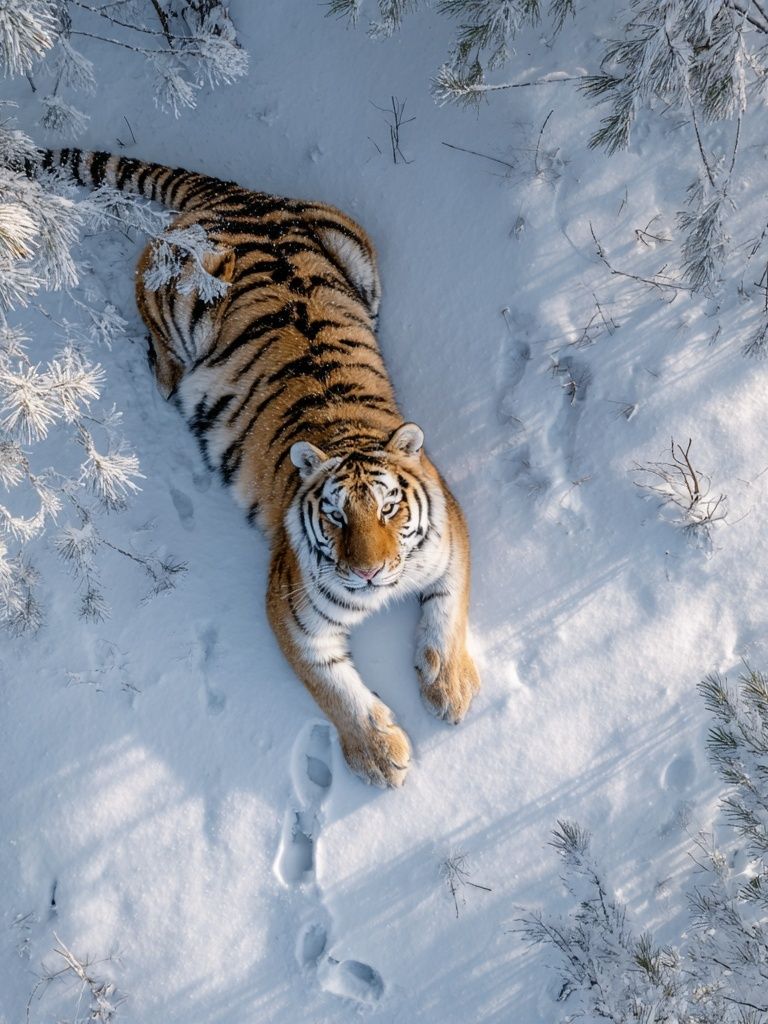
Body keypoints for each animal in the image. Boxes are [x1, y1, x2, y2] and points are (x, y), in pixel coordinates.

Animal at [40, 148, 481, 787]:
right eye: (336, 517)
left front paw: (450, 688)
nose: (371, 574)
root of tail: (242, 197)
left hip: (361, 257)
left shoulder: (452, 537)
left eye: (390, 508)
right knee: (146, 295)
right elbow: (333, 688)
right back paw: (168, 378)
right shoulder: (292, 611)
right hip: (185, 290)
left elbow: (447, 614)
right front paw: (380, 755)